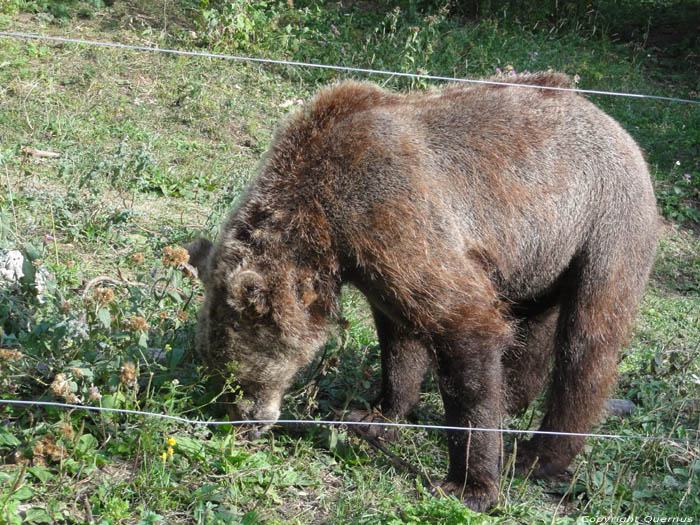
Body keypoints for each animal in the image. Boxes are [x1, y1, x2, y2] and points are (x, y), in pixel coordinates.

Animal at [189, 73, 660, 512]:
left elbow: (464, 330)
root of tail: (614, 124)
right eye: (218, 373)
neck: (318, 225)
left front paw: (469, 485)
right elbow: (400, 340)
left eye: (238, 378)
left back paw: (537, 455)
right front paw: (371, 415)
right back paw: (511, 397)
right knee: (531, 325)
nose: (244, 424)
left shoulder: (388, 210)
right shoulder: (374, 259)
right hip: (540, 253)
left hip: (605, 224)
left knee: (586, 343)